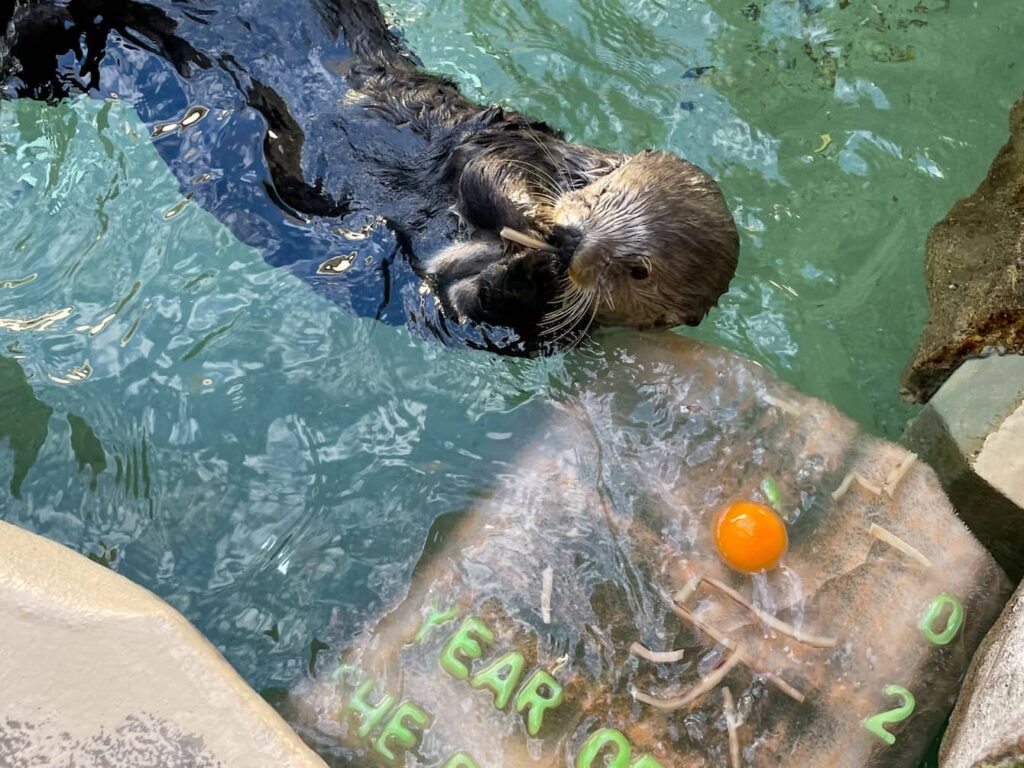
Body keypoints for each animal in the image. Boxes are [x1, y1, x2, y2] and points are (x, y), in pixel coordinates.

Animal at [1, 0, 738, 352]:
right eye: (602, 194)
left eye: (637, 270)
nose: (570, 241)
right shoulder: (519, 141)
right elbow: (483, 166)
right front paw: (528, 220)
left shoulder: (510, 329)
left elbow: (461, 303)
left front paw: (533, 269)